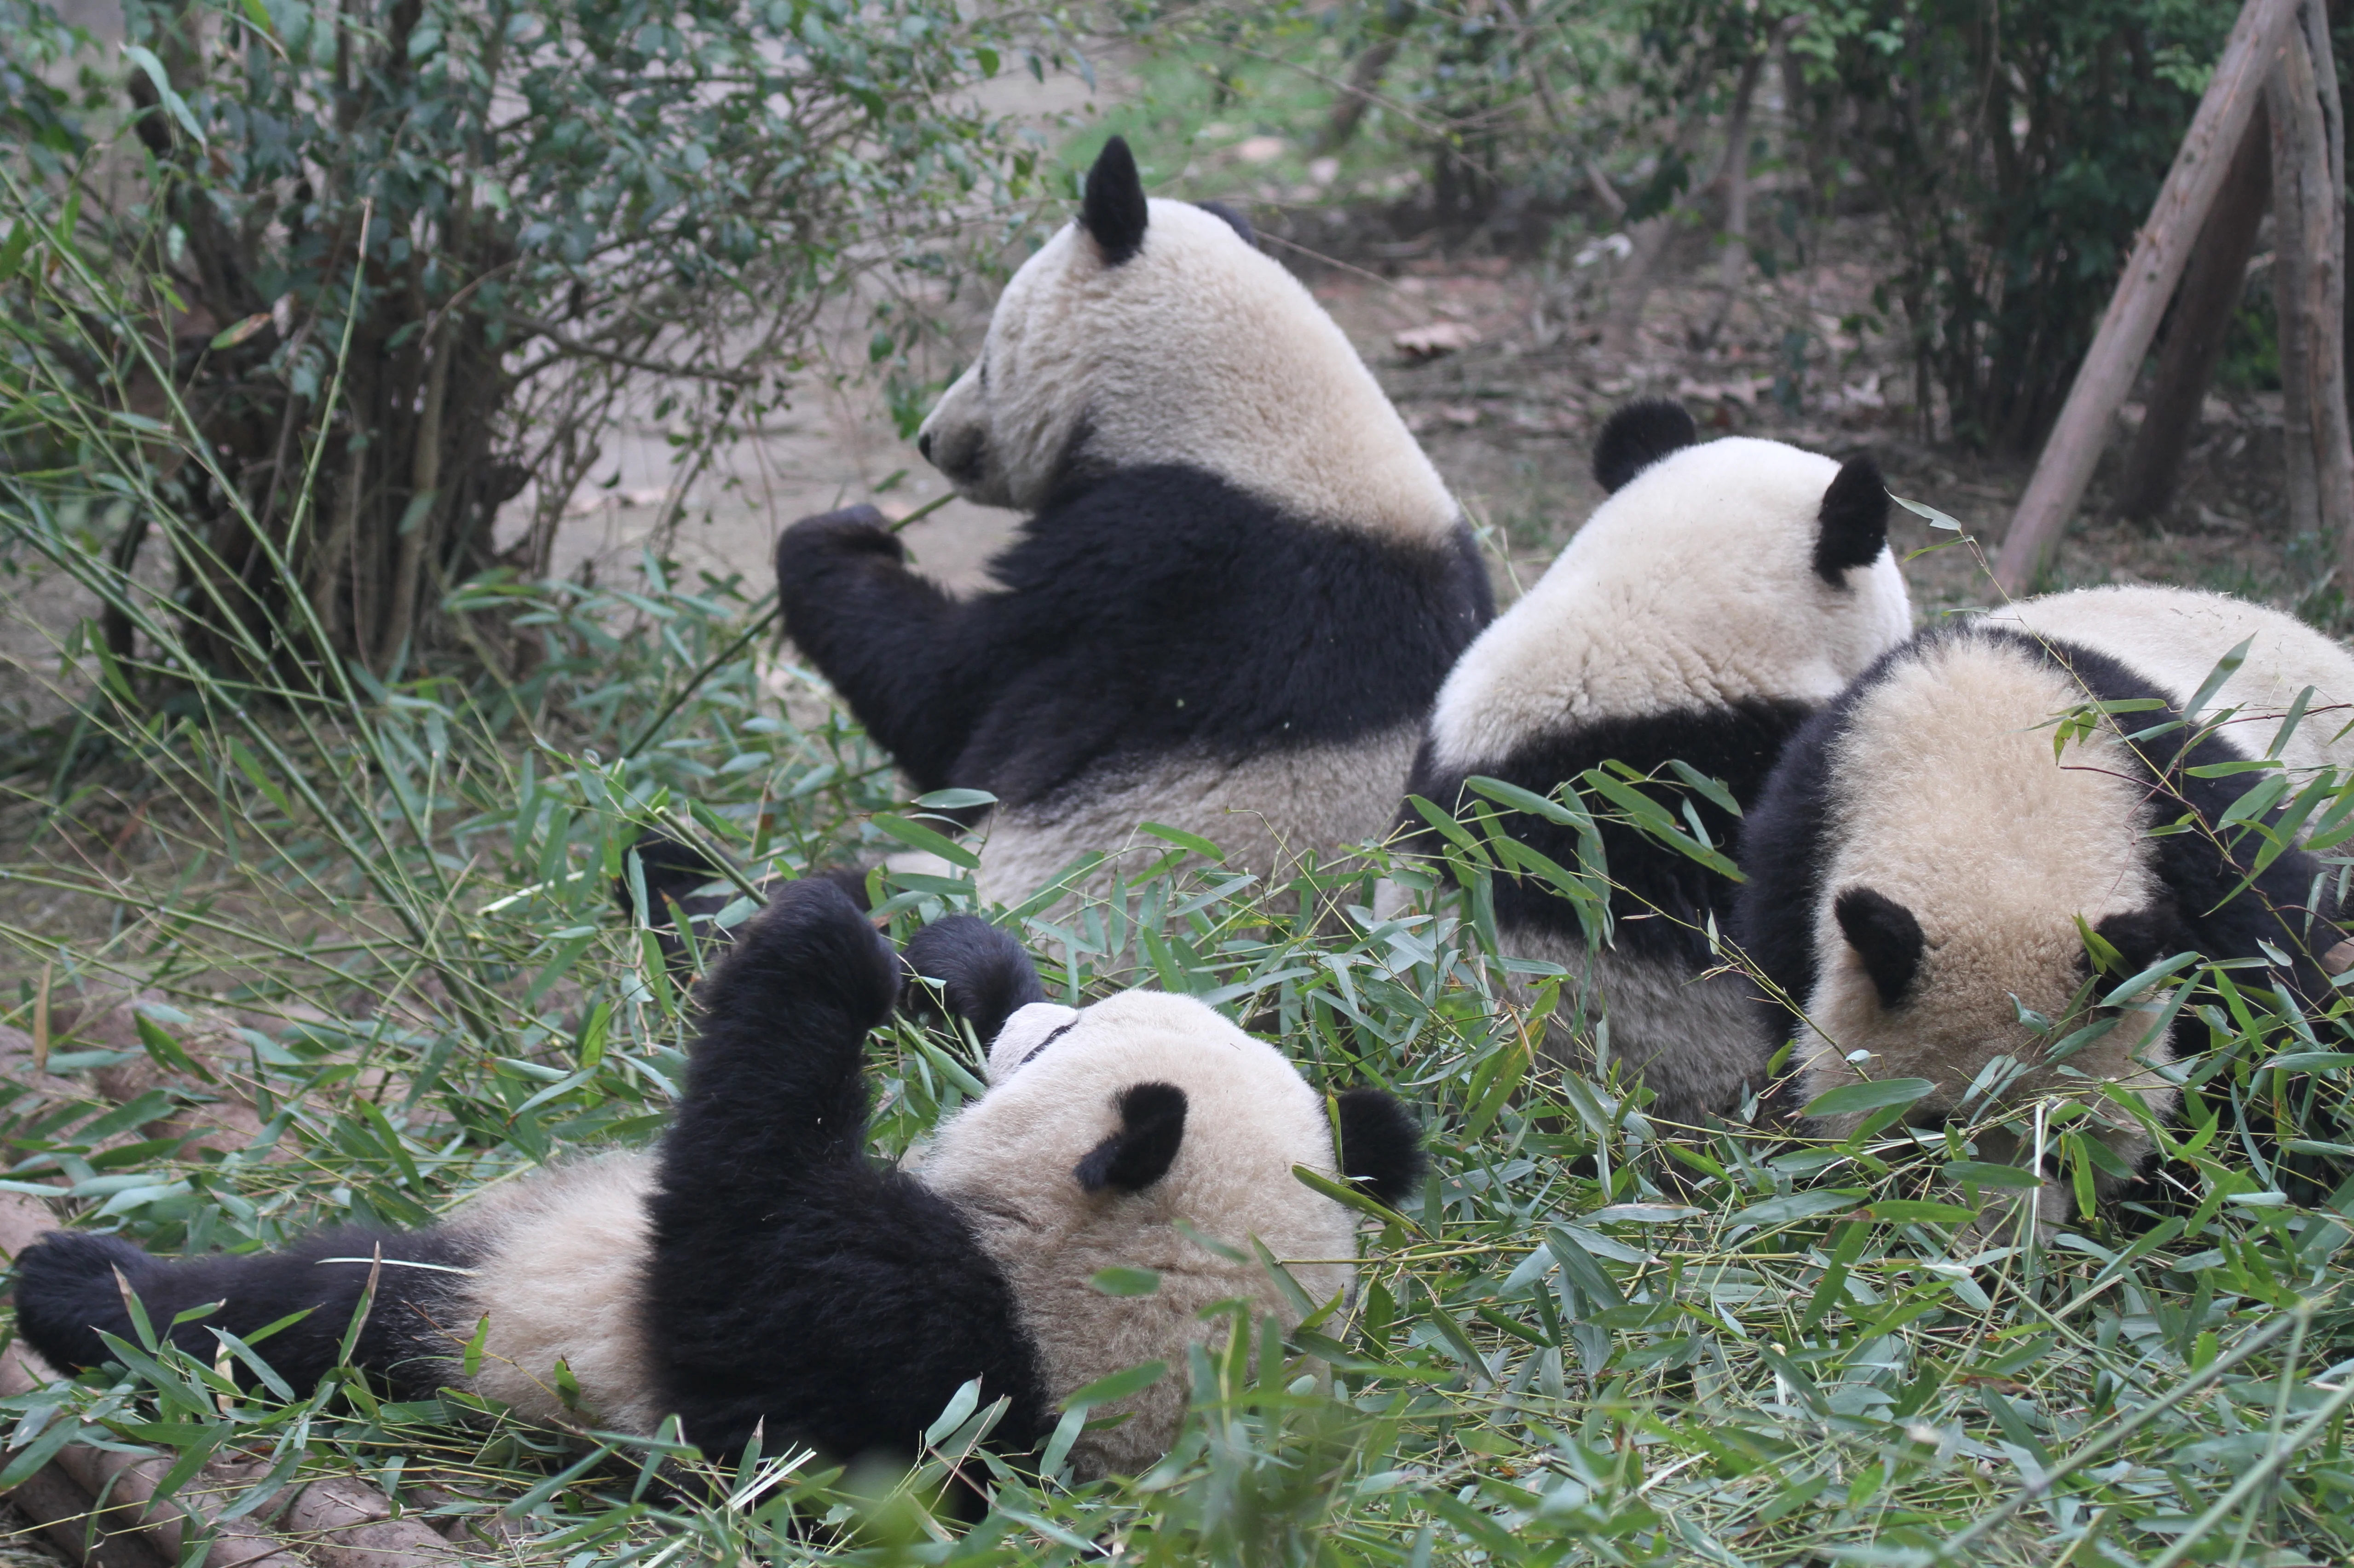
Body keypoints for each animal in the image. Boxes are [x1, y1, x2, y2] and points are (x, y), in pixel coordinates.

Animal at [13, 882, 1422, 1482]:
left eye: (1065, 1046)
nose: (1039, 1021)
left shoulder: (910, 1352)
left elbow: (736, 1223)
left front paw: (827, 939)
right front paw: (954, 958)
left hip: (464, 1321)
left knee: (311, 1307)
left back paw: (78, 1285)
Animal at [1734, 617, 2346, 1229]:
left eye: (2062, 1134)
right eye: (1934, 1131)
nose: (2002, 1240)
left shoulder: (2201, 845)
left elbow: (2269, 1048)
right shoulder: (1802, 852)